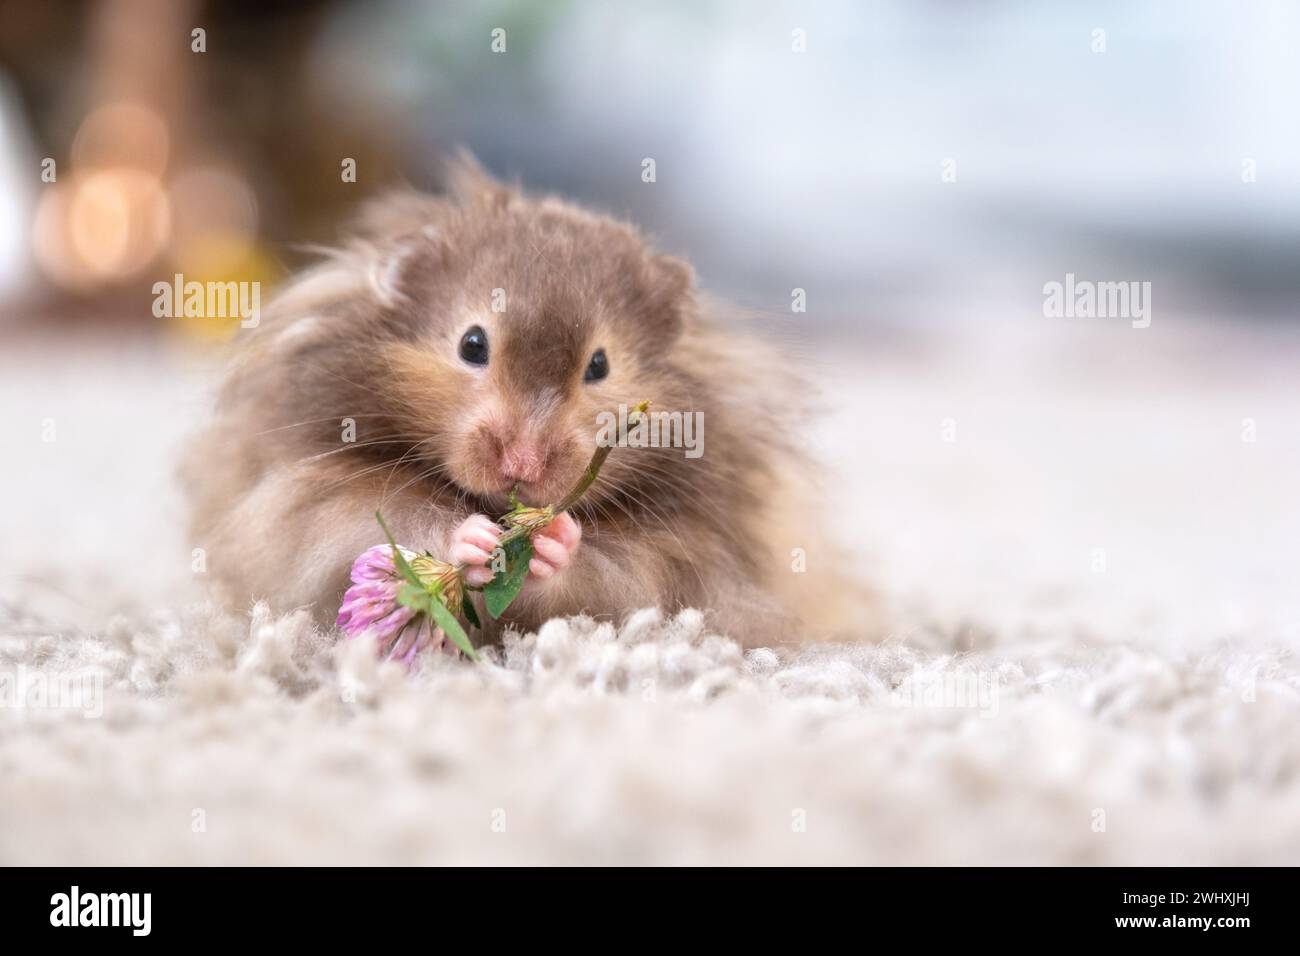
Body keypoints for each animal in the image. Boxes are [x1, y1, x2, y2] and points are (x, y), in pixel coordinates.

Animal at [180, 155, 852, 650]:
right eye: (472, 344)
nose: (521, 466)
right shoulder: (316, 503)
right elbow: (405, 522)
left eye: (600, 365)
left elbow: (594, 575)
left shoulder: (670, 560)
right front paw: (475, 538)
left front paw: (556, 540)